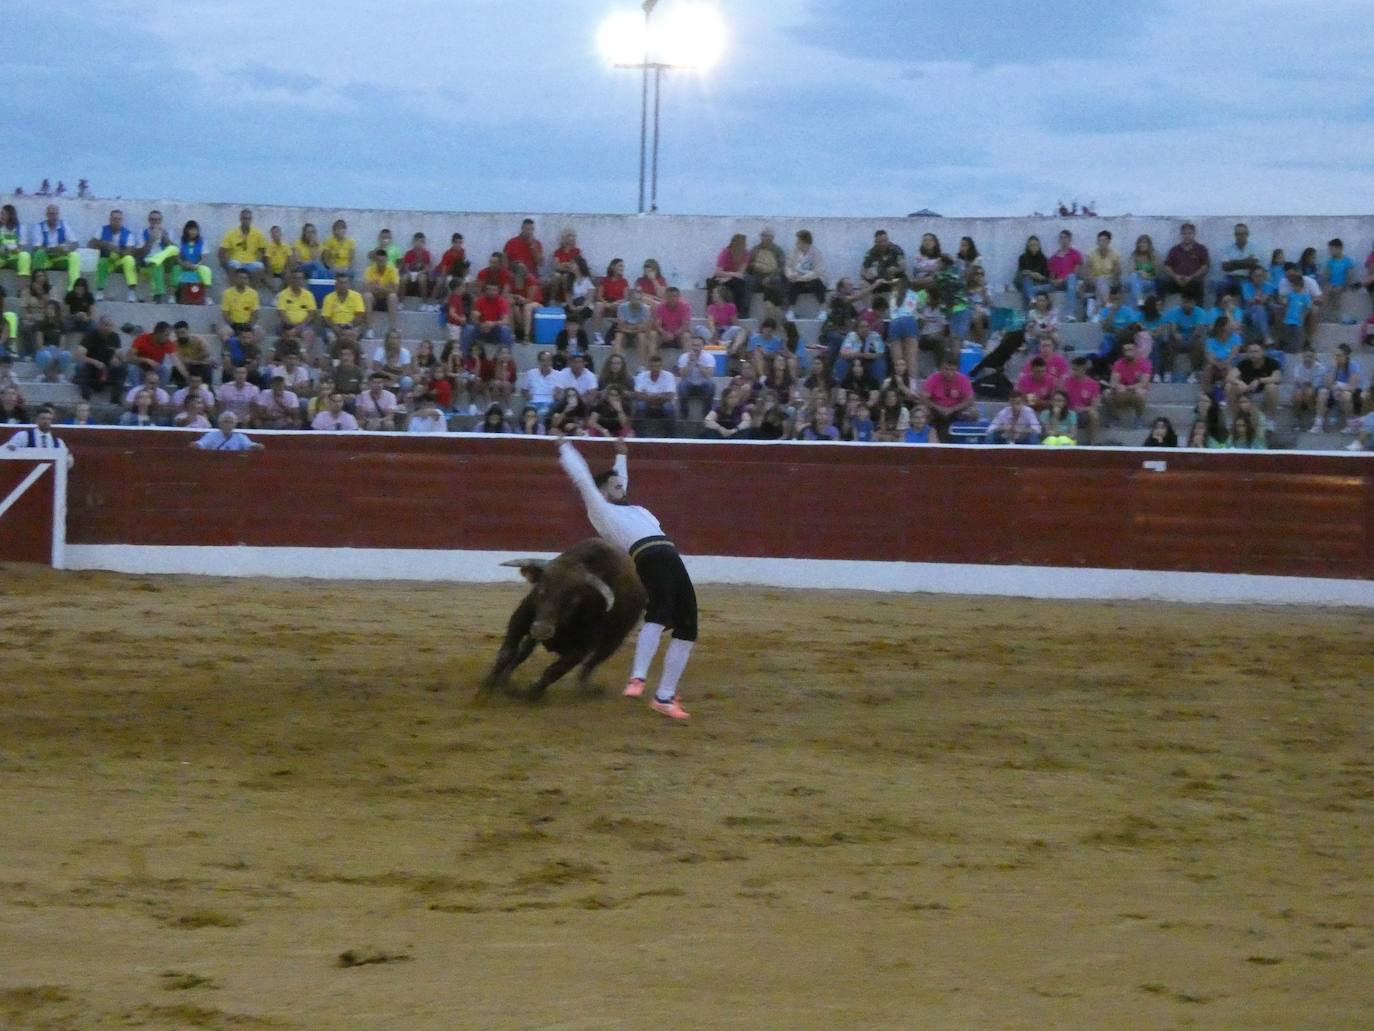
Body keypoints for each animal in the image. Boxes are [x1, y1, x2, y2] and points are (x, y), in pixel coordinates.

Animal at [478, 541, 648, 703]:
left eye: (573, 600)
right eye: (541, 589)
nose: (542, 629)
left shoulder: (581, 649)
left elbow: (554, 671)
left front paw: (533, 694)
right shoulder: (520, 620)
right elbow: (507, 653)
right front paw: (488, 686)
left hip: (613, 641)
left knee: (591, 664)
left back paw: (587, 688)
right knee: (524, 651)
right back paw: (505, 680)